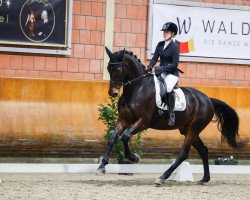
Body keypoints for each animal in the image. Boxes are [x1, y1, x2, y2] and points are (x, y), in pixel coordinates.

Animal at [96, 47, 241, 185]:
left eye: (118, 68)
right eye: (108, 68)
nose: (113, 93)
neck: (137, 89)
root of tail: (208, 100)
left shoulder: (143, 122)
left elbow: (125, 137)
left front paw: (134, 157)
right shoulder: (124, 120)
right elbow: (113, 137)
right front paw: (102, 167)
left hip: (193, 129)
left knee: (183, 154)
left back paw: (162, 178)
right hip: (188, 130)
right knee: (203, 150)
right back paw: (205, 179)